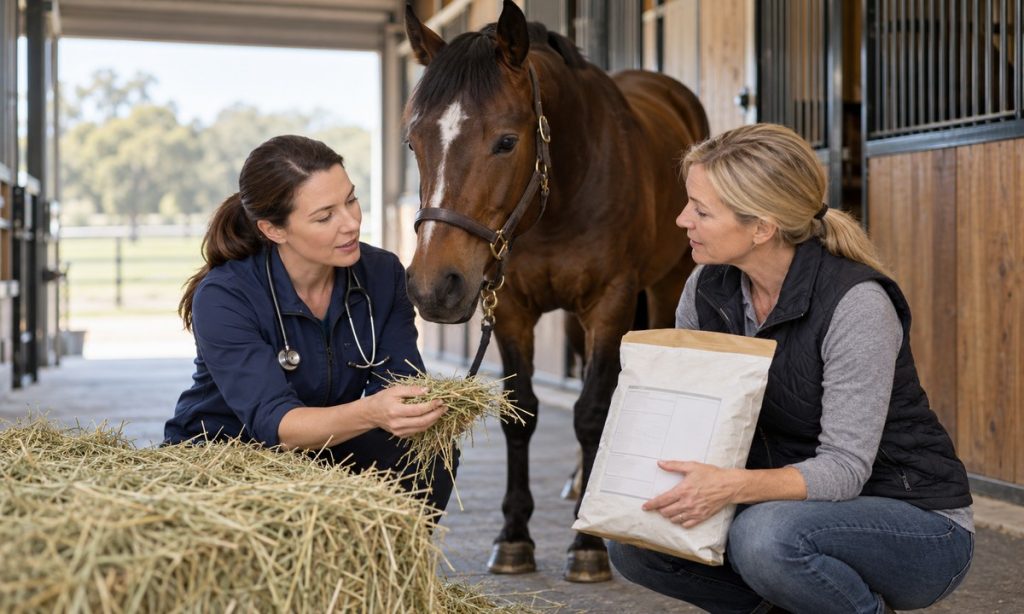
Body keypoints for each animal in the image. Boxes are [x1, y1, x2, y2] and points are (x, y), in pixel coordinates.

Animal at [403, 0, 709, 582]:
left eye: (506, 141)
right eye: (414, 141)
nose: (434, 287)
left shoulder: (611, 301)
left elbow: (591, 411)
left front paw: (587, 545)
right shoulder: (512, 308)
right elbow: (520, 412)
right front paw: (513, 537)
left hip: (664, 285)